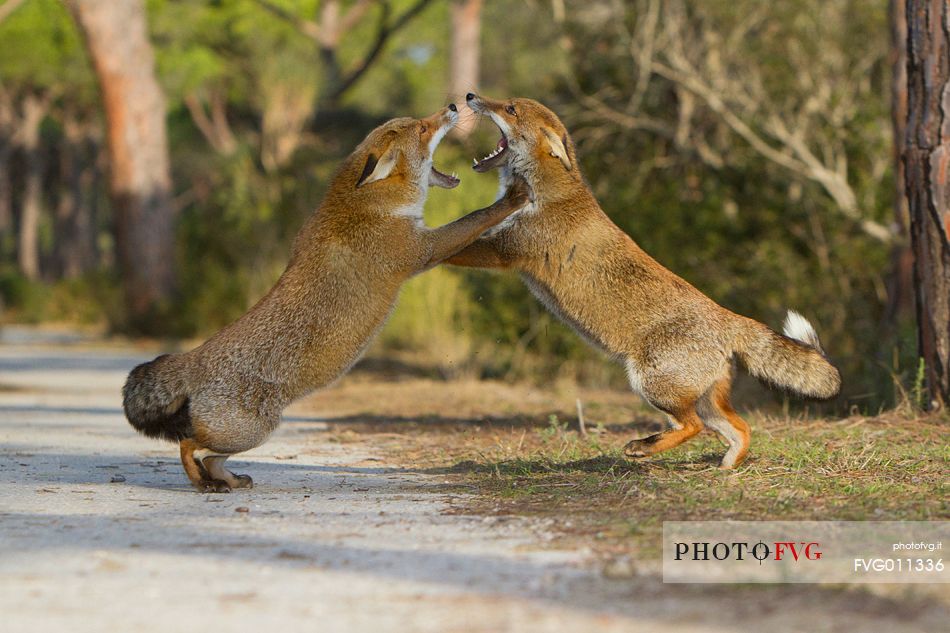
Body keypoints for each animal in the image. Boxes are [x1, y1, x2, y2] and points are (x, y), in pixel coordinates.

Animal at [122, 103, 532, 492]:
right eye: (422, 128)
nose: (452, 106)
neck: (367, 204)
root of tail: (193, 359)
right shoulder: (424, 250)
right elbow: (475, 218)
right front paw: (512, 198)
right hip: (247, 431)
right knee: (186, 445)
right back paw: (202, 482)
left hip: (248, 435)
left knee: (209, 456)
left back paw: (225, 480)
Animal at [446, 94, 840, 470]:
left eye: (510, 109)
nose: (470, 96)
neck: (543, 192)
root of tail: (728, 317)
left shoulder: (505, 250)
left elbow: (447, 248)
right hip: (702, 399)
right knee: (739, 428)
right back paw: (724, 467)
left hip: (650, 383)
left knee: (692, 426)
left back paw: (643, 447)